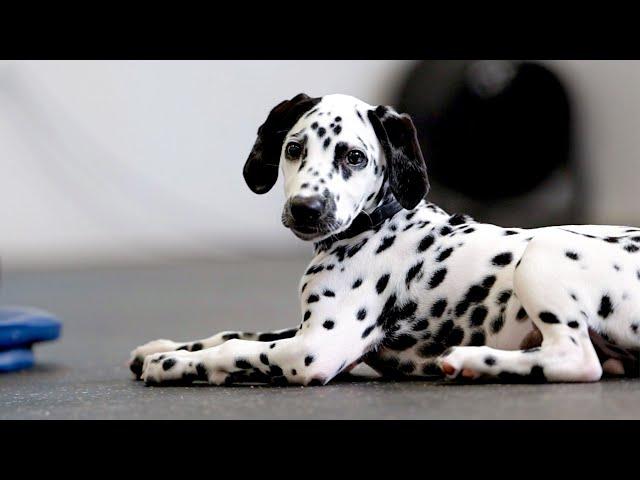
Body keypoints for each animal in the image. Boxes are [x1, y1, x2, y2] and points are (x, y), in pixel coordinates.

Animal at [129, 93, 640, 386]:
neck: (380, 224)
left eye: (353, 157)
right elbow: (235, 332)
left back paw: (470, 361)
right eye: (293, 149)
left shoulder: (313, 348)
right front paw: (163, 348)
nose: (306, 208)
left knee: (575, 360)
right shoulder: (301, 328)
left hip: (541, 254)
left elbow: (236, 349)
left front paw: (170, 364)